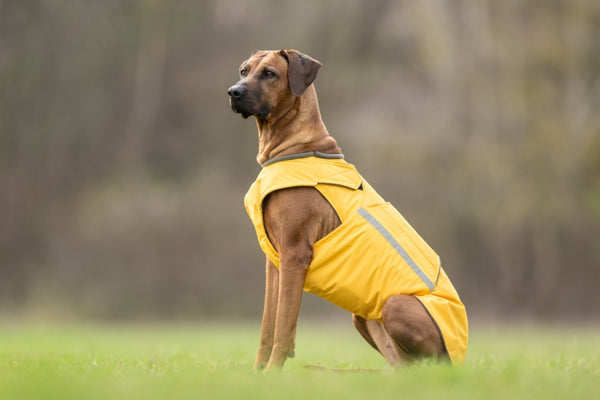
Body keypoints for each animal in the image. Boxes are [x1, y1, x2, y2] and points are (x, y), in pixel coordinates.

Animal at [227, 50, 466, 372]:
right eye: (244, 70)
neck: (296, 147)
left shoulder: (294, 255)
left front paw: (272, 373)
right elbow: (268, 327)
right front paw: (257, 374)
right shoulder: (274, 262)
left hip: (396, 305)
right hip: (363, 318)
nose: (233, 92)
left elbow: (284, 328)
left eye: (269, 73)